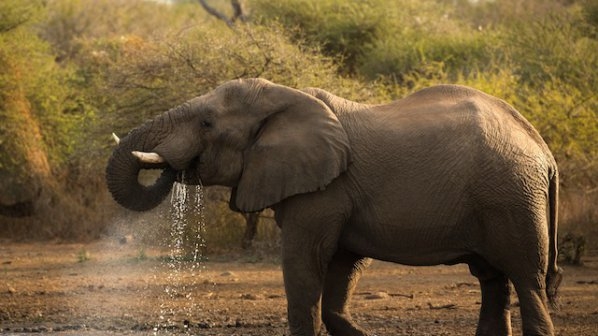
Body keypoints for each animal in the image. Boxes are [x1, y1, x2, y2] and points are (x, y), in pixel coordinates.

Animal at [106, 78, 564, 336]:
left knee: (527, 280)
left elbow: (304, 264)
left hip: (512, 196)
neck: (287, 98)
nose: (176, 165)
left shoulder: (324, 190)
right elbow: (341, 269)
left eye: (206, 124)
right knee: (493, 281)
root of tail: (542, 148)